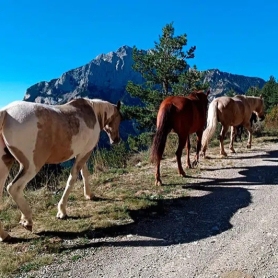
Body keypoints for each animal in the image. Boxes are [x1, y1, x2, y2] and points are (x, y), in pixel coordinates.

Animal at [0, 97, 121, 241]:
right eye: (119, 118)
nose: (116, 140)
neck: (92, 112)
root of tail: (6, 112)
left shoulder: (81, 153)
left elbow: (84, 173)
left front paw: (89, 195)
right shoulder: (85, 152)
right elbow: (72, 178)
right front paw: (62, 211)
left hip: (5, 162)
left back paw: (5, 235)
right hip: (31, 166)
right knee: (14, 188)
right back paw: (27, 221)